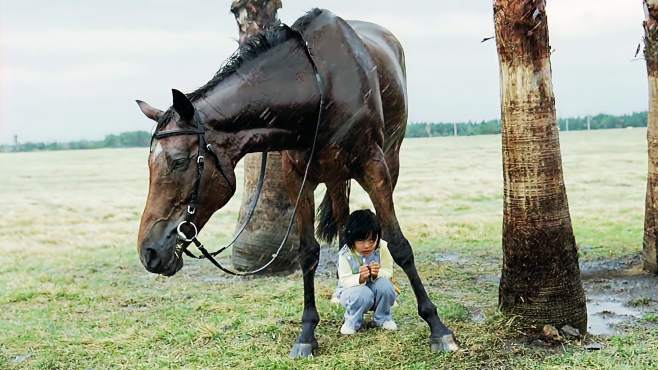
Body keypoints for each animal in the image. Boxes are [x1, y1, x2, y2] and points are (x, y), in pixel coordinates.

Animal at [135, 7, 456, 356]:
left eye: (178, 161)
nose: (149, 252)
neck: (319, 89)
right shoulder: (296, 180)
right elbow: (307, 253)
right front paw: (307, 332)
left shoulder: (375, 168)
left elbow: (398, 244)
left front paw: (437, 327)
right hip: (335, 176)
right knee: (343, 226)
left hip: (390, 159)